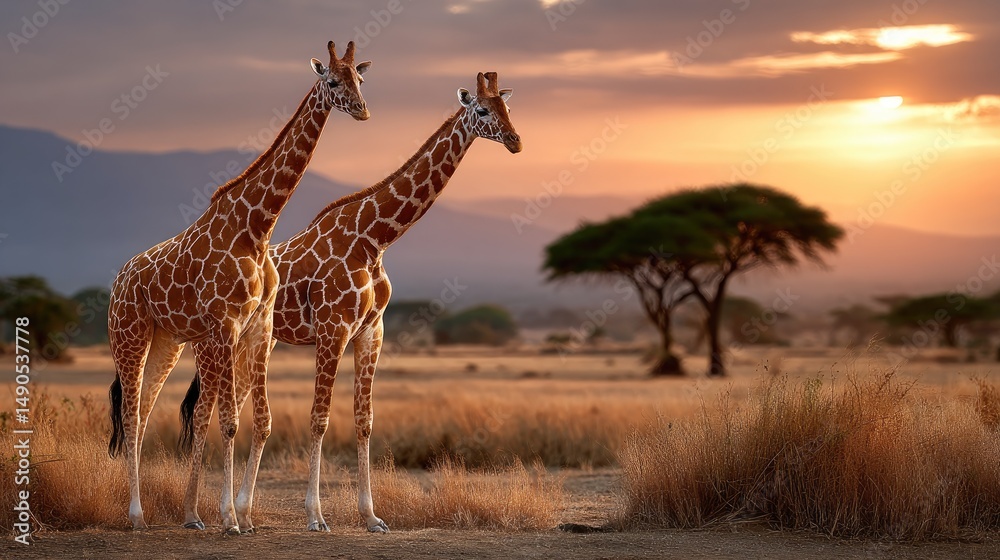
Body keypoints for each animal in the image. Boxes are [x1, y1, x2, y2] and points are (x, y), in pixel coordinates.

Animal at [106, 40, 371, 535]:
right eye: (332, 81)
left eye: (360, 79)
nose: (363, 111)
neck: (257, 228)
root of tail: (118, 280)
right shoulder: (226, 323)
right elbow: (229, 421)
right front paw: (229, 519)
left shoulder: (259, 324)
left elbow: (255, 420)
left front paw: (238, 518)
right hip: (128, 335)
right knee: (130, 416)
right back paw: (136, 516)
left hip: (166, 340)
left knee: (144, 413)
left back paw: (153, 512)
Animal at [180, 71, 521, 532]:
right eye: (483, 111)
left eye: (508, 108)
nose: (515, 141)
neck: (372, 240)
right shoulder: (333, 329)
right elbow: (320, 419)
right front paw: (315, 516)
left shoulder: (371, 331)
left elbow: (364, 421)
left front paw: (372, 516)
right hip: (210, 342)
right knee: (202, 413)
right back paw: (195, 514)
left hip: (257, 342)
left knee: (234, 407)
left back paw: (240, 511)